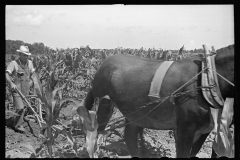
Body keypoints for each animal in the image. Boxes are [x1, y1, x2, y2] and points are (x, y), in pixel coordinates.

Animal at [83, 44, 233, 158]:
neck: (208, 79)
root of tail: (103, 64)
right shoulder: (185, 128)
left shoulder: (205, 130)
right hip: (102, 105)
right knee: (96, 134)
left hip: (135, 113)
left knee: (129, 137)